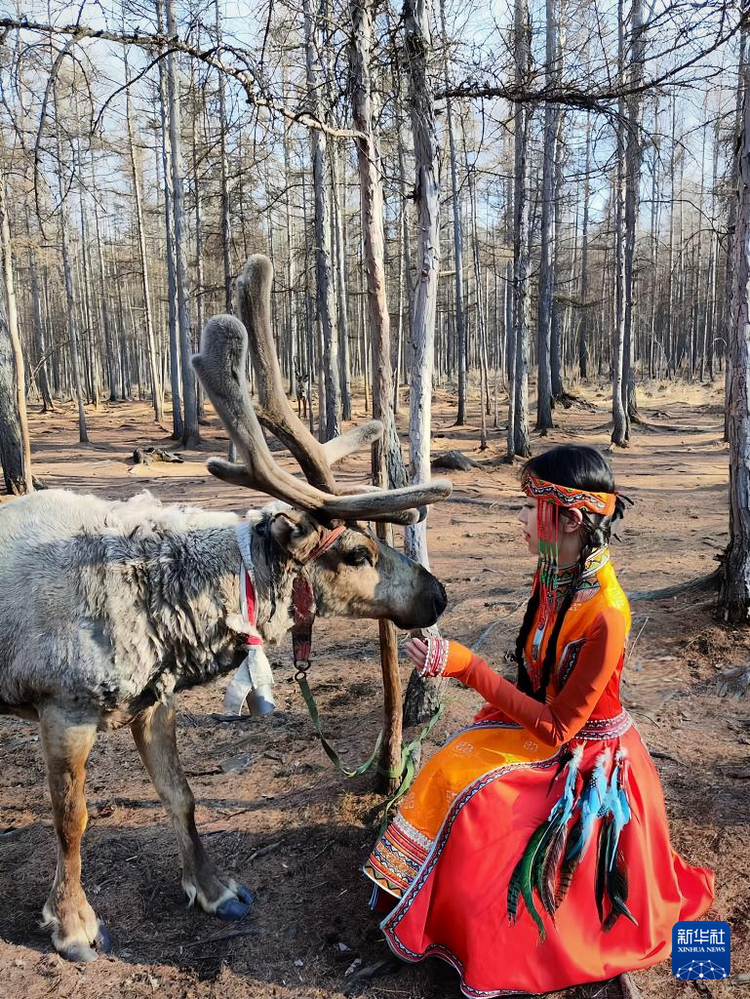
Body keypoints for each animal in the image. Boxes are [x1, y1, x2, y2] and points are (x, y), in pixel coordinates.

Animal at [0, 254, 450, 964]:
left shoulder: (153, 699)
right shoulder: (62, 707)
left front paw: (214, 891)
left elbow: (181, 797)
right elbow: (72, 818)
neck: (164, 606)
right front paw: (72, 924)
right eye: (356, 551)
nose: (437, 594)